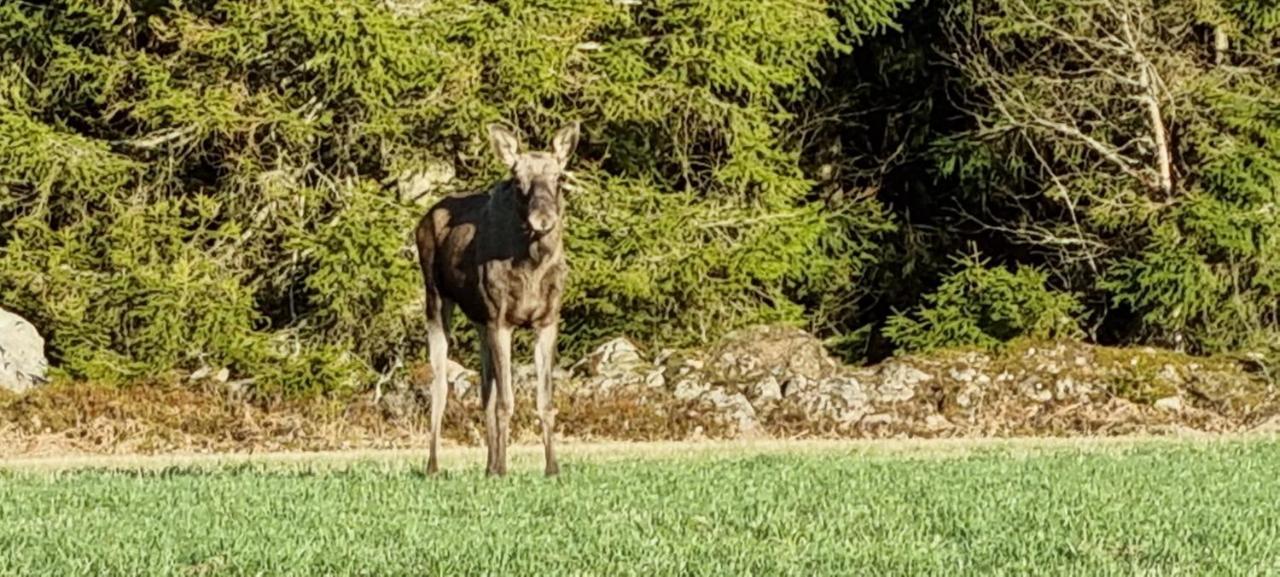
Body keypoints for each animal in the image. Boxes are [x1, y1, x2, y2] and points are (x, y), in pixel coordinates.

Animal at [414, 122, 581, 478]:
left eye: (559, 178)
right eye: (518, 180)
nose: (542, 219)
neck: (531, 267)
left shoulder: (547, 319)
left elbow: (544, 401)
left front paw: (552, 468)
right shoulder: (501, 320)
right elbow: (507, 401)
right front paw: (505, 468)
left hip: (480, 319)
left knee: (484, 390)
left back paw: (489, 464)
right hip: (436, 299)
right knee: (440, 384)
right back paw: (434, 466)